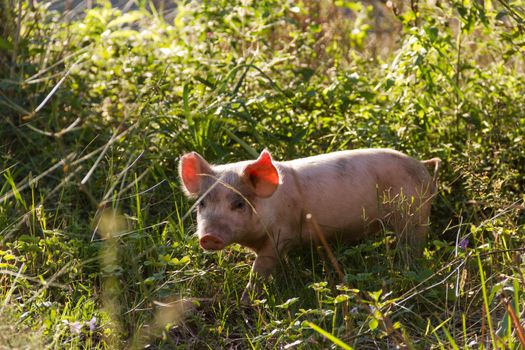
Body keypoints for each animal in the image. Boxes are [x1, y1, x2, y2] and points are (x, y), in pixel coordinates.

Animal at [178, 149, 440, 296]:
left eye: (239, 204)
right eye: (202, 204)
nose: (208, 237)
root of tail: (422, 164)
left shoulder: (282, 234)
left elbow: (261, 266)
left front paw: (246, 299)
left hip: (414, 215)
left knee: (413, 245)